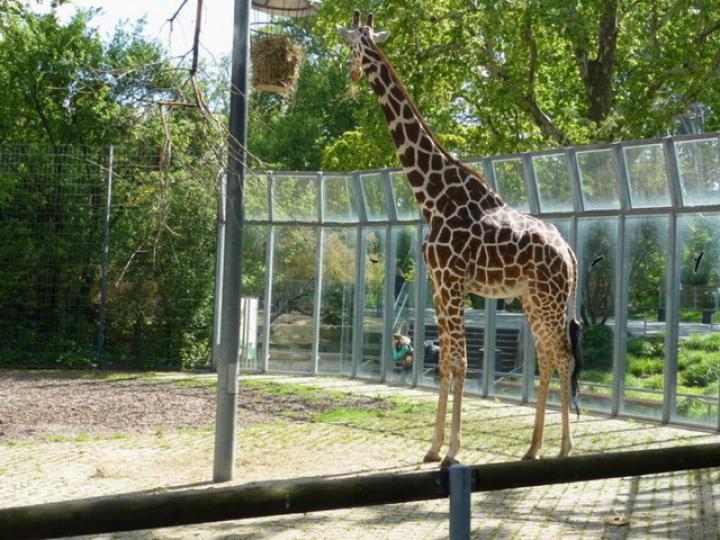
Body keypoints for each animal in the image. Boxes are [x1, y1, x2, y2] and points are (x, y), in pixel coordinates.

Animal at [338, 11, 583, 467]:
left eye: (354, 45)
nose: (352, 75)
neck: (432, 196)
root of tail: (571, 254)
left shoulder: (452, 284)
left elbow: (462, 363)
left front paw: (452, 450)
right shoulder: (437, 285)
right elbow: (447, 361)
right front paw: (433, 446)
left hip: (549, 299)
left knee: (562, 355)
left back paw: (563, 447)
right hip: (532, 299)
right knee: (548, 358)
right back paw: (533, 447)